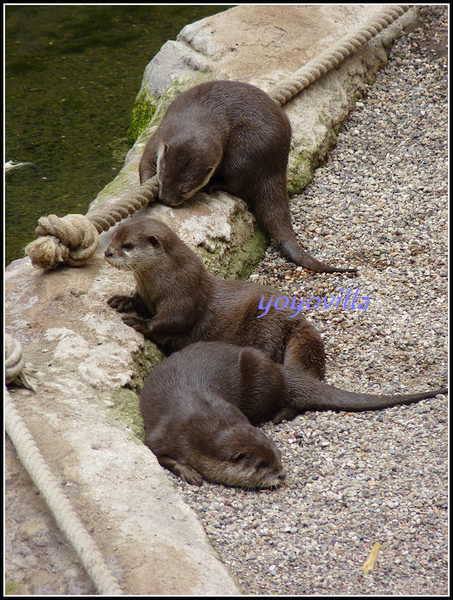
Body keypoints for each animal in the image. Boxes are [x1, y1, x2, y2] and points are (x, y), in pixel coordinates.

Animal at [104, 217, 326, 380]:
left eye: (127, 245)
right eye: (112, 238)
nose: (107, 252)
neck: (165, 282)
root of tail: (298, 319)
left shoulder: (185, 296)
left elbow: (171, 321)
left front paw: (139, 322)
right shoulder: (150, 296)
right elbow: (143, 305)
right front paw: (124, 300)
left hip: (267, 325)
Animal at [138, 79, 356, 274]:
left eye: (185, 190)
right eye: (162, 179)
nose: (166, 200)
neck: (199, 116)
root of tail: (276, 165)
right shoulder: (160, 135)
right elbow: (145, 161)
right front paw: (146, 181)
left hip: (244, 154)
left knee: (238, 184)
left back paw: (215, 186)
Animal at [140, 342, 444, 488]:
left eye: (278, 456)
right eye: (262, 465)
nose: (282, 475)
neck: (202, 420)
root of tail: (278, 367)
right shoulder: (165, 432)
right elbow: (157, 453)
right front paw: (189, 471)